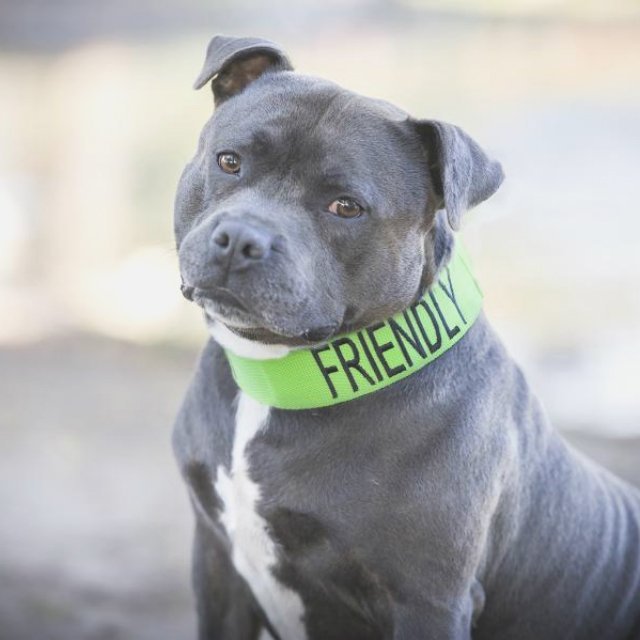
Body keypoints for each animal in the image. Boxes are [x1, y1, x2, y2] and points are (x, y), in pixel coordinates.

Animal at [171, 36, 640, 640]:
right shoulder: (215, 562)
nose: (239, 238)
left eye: (346, 206)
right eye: (229, 161)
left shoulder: (428, 601)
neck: (283, 374)